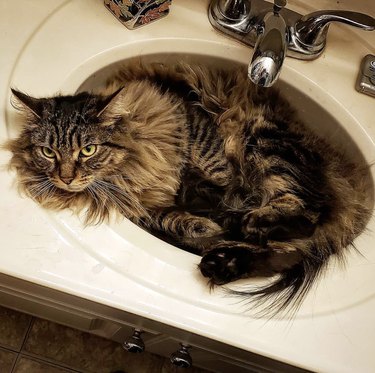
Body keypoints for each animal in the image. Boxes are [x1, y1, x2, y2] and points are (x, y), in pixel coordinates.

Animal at [5, 62, 374, 316]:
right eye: (48, 152)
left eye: (87, 150)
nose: (66, 178)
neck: (125, 171)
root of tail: (353, 190)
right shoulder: (140, 209)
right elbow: (172, 217)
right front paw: (200, 222)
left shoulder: (194, 125)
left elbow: (213, 169)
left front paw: (214, 196)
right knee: (281, 250)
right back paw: (223, 259)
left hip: (266, 139)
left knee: (303, 214)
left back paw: (245, 223)